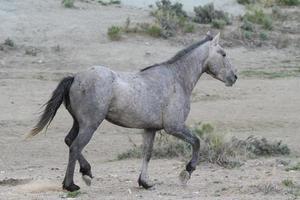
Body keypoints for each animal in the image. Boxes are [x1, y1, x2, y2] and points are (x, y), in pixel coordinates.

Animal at [28, 32, 238, 191]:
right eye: (223, 53)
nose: (234, 77)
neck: (176, 79)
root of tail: (75, 78)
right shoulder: (174, 127)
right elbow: (196, 141)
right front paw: (186, 172)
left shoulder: (150, 129)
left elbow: (147, 153)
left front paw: (145, 182)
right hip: (90, 125)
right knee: (75, 146)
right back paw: (71, 185)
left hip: (79, 123)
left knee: (69, 141)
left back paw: (86, 172)